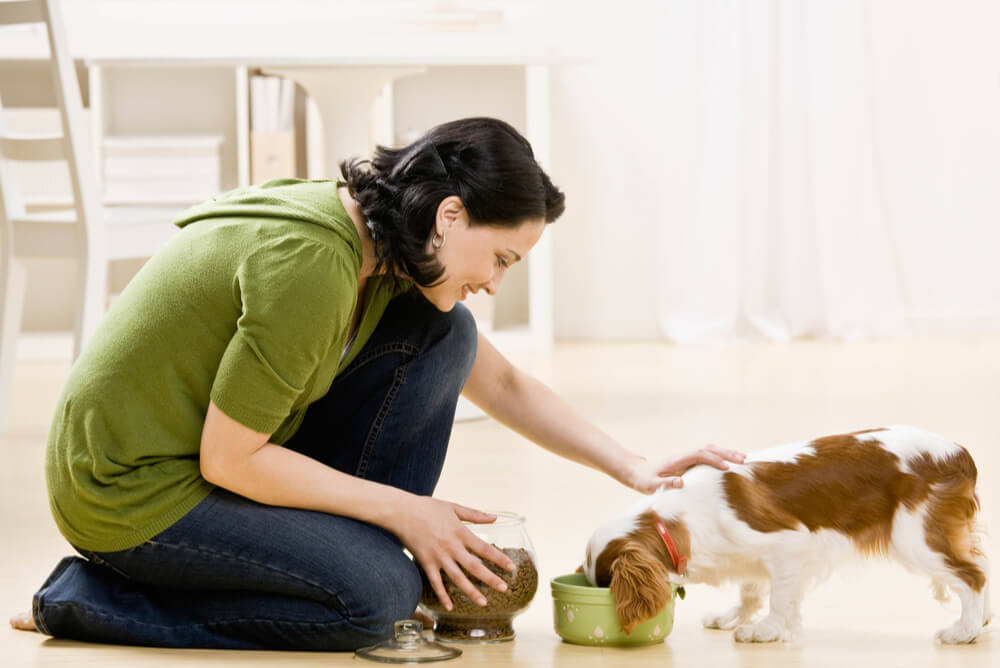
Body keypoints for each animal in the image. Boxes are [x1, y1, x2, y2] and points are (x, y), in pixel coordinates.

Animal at [584, 428, 988, 640]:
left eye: (605, 584)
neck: (679, 519)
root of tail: (959, 453)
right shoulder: (752, 556)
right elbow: (750, 590)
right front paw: (733, 617)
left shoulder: (789, 546)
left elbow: (779, 597)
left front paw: (765, 630)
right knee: (978, 565)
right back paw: (981, 621)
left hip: (916, 541)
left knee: (973, 577)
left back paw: (964, 631)